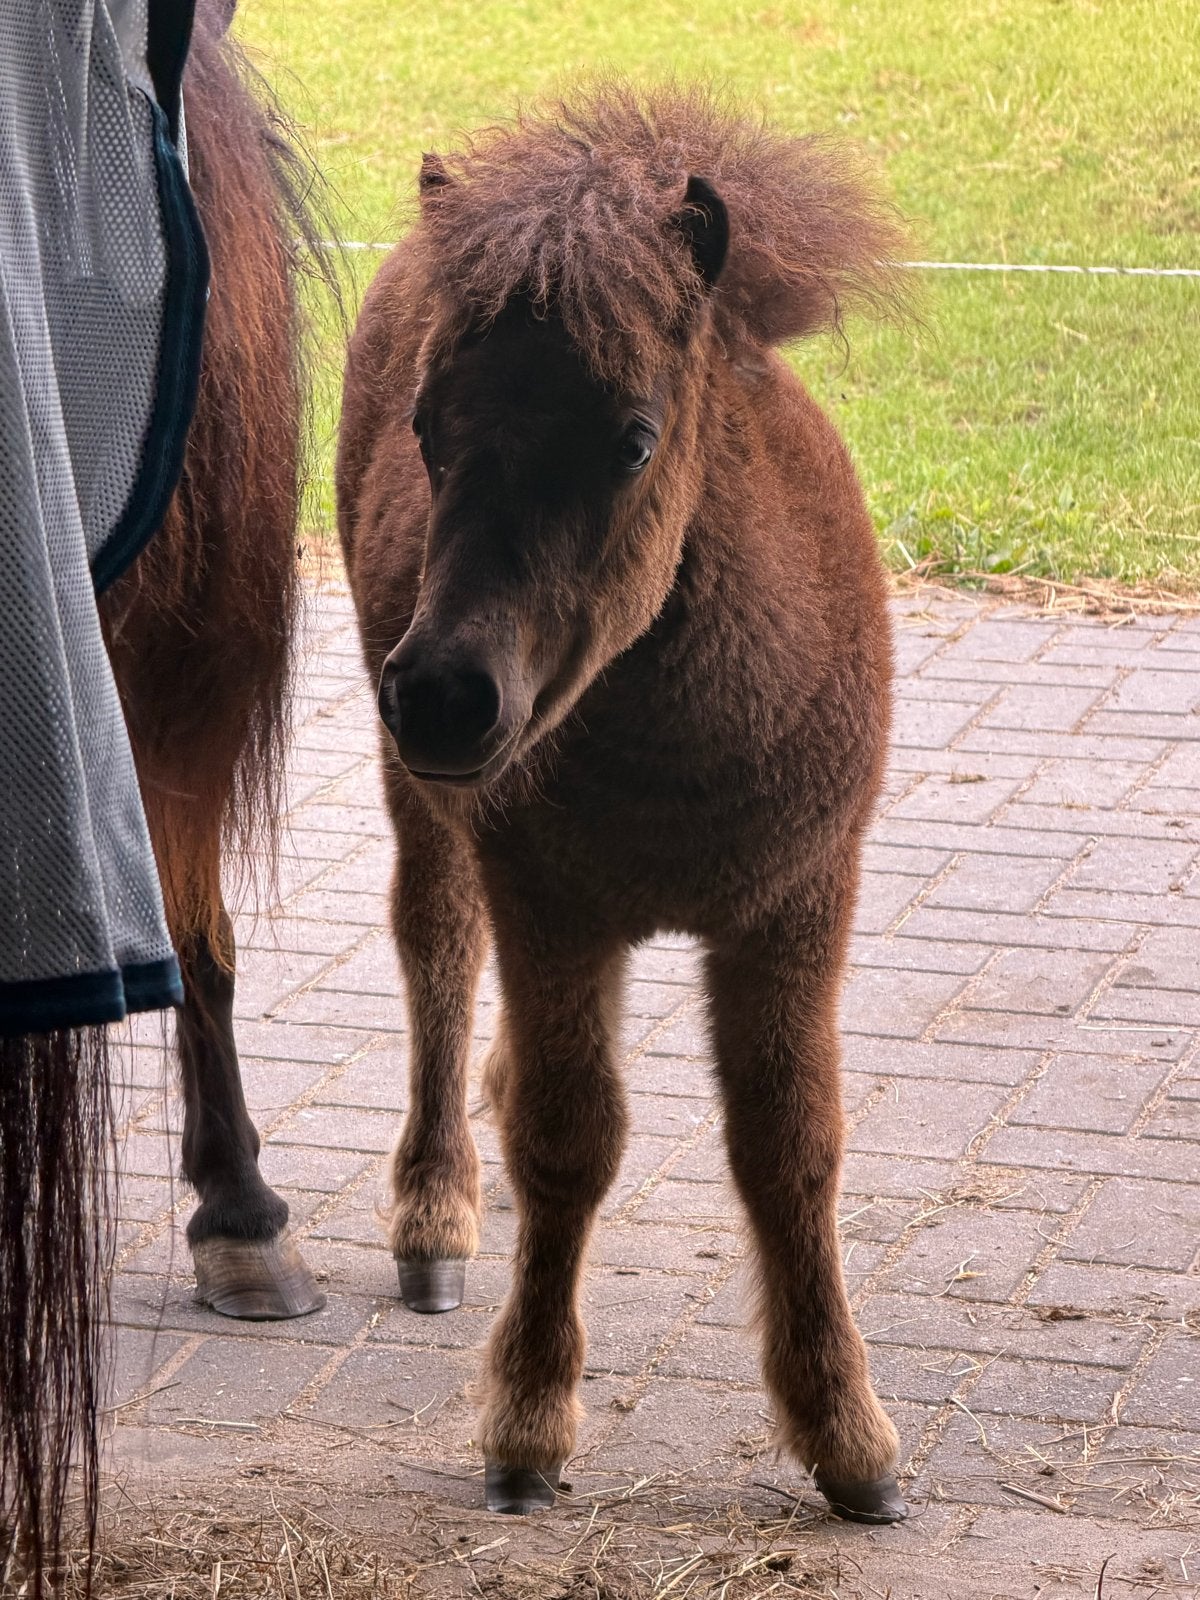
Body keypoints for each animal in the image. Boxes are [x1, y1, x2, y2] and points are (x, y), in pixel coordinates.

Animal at [336, 87, 912, 1524]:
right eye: (427, 430)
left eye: (634, 439)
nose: (443, 696)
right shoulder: (555, 909)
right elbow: (568, 1141)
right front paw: (529, 1423)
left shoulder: (796, 906)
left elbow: (791, 1147)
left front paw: (850, 1438)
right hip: (428, 808)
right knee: (438, 948)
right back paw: (434, 1208)